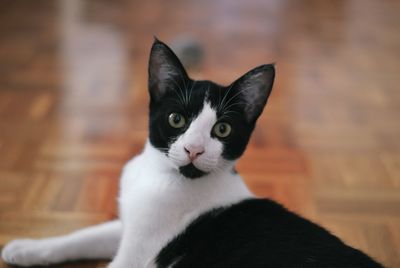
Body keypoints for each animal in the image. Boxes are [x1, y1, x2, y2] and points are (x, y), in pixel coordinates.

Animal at [1, 38, 382, 266]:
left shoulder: (136, 256)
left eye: (222, 129)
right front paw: (26, 247)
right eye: (176, 119)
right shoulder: (132, 225)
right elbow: (85, 235)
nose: (194, 149)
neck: (162, 177)